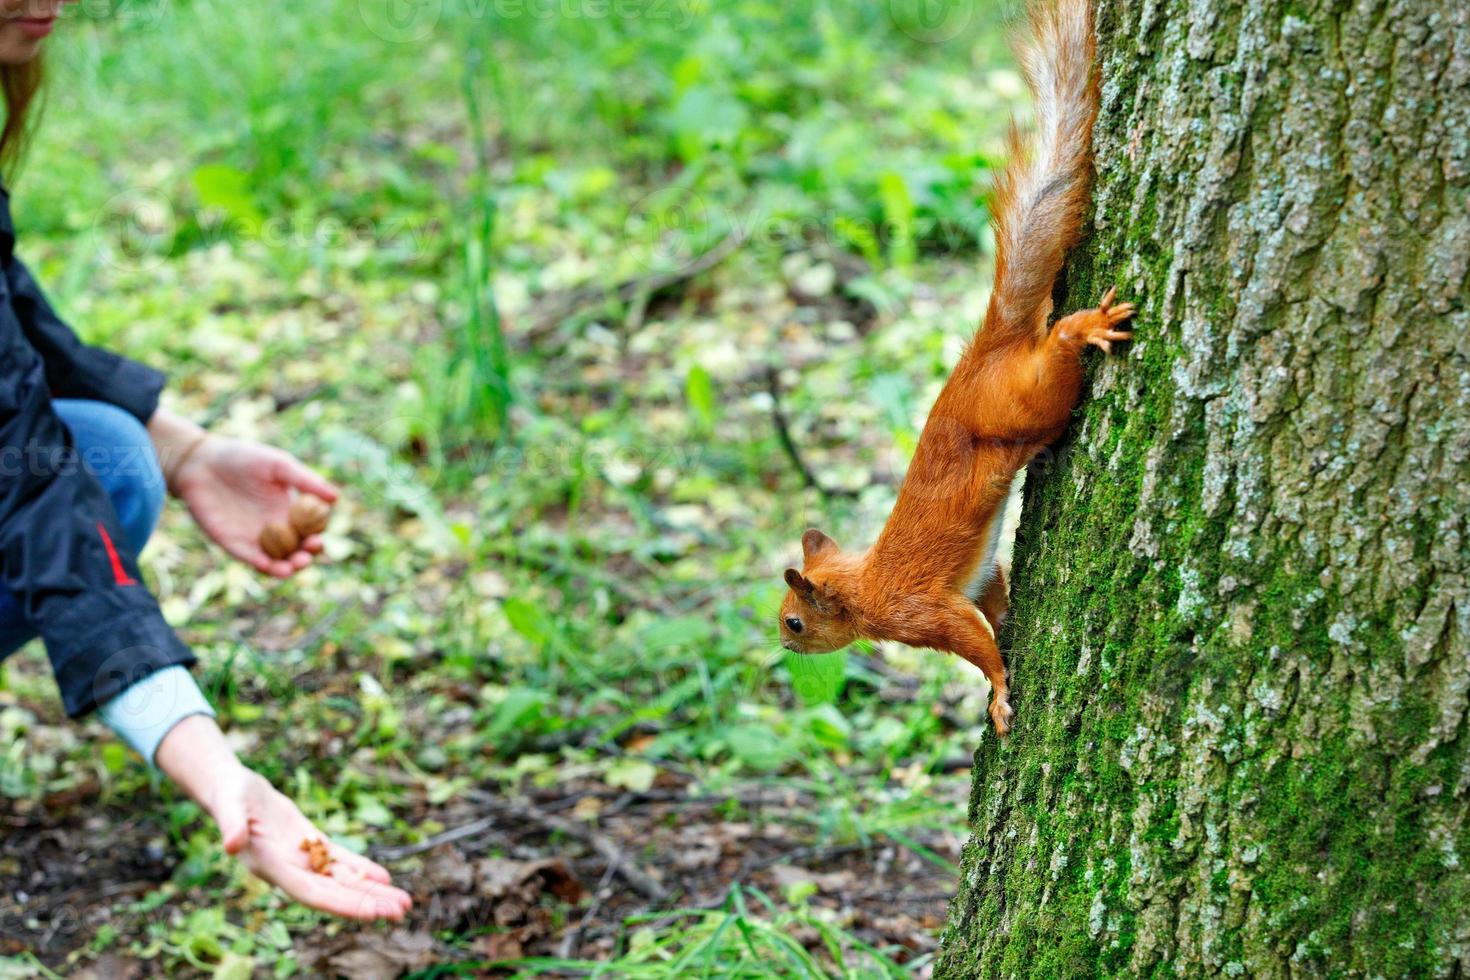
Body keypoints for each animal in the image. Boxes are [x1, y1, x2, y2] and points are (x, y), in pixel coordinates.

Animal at [782, 0, 1134, 734]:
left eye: (795, 622)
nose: (784, 647)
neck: (864, 583)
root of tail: (986, 350)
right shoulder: (979, 581)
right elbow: (994, 602)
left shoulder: (922, 611)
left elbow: (975, 643)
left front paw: (997, 692)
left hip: (1022, 401)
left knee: (1054, 358)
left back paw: (1081, 328)